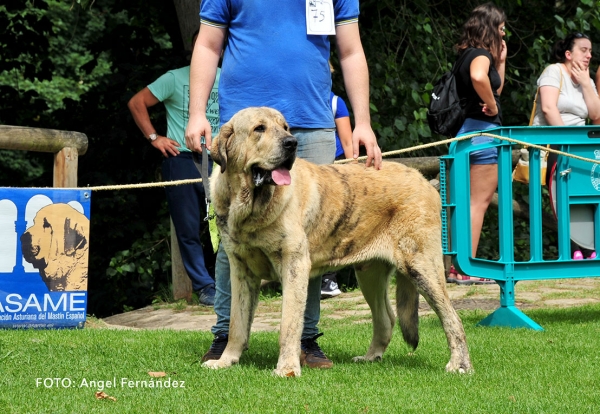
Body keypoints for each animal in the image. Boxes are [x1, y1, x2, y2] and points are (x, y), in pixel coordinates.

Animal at [206, 106, 474, 376]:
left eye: (285, 127)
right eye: (259, 129)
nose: (292, 143)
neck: (250, 206)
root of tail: (423, 180)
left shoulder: (294, 265)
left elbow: (289, 324)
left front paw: (287, 369)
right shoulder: (241, 271)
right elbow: (236, 323)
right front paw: (225, 361)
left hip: (421, 266)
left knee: (452, 318)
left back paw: (460, 365)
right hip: (369, 274)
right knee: (386, 318)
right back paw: (370, 357)